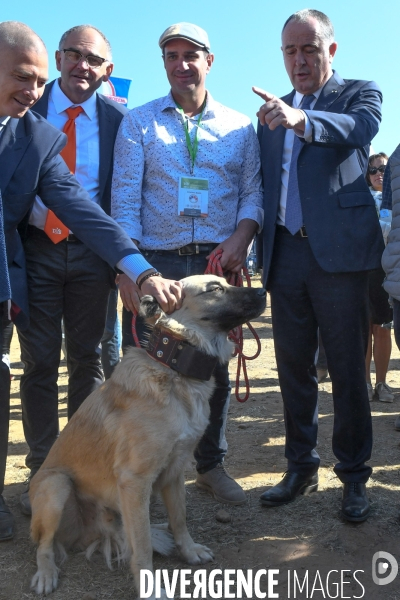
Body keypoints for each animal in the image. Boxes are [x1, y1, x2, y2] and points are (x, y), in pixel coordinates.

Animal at [28, 274, 266, 596]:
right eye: (214, 289)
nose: (263, 291)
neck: (175, 369)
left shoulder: (175, 470)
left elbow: (179, 518)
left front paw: (189, 551)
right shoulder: (135, 481)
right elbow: (140, 545)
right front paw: (149, 586)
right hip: (56, 486)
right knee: (44, 544)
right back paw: (46, 573)